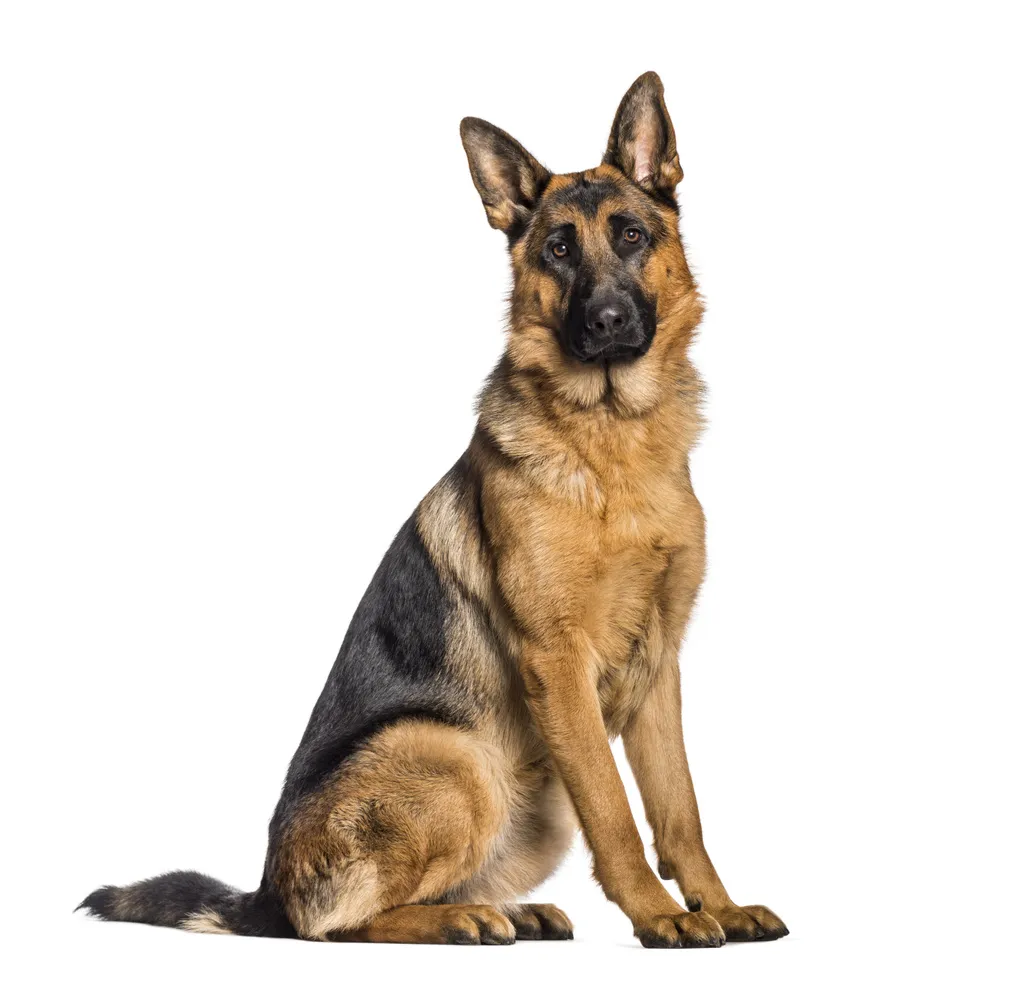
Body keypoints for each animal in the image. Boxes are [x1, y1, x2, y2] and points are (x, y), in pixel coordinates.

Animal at [79, 72, 786, 950]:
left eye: (629, 235)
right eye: (558, 250)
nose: (607, 323)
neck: (610, 446)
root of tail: (265, 893)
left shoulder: (658, 668)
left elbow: (680, 808)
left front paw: (717, 903)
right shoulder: (559, 663)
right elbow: (615, 808)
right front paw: (659, 914)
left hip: (529, 798)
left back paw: (510, 909)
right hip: (455, 755)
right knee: (335, 923)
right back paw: (460, 918)